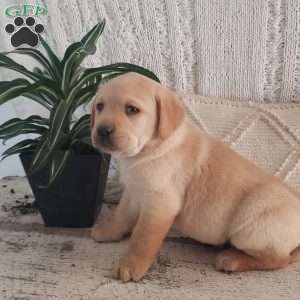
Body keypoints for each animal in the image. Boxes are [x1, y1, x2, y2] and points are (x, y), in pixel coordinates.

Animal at [89, 72, 300, 282]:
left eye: (132, 110)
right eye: (100, 107)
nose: (102, 130)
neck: (149, 149)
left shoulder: (160, 205)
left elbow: (142, 239)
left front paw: (131, 265)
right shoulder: (133, 192)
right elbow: (120, 216)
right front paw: (107, 231)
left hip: (250, 226)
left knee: (280, 259)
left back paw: (232, 259)